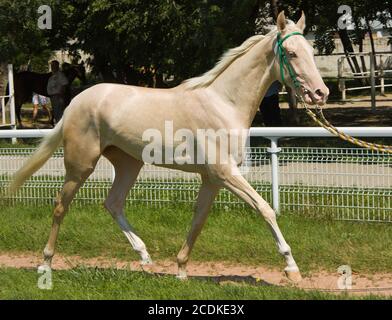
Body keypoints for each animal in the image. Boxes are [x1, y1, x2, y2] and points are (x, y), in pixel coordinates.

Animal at [8, 11, 328, 282]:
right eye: (291, 53)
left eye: (311, 51)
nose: (320, 93)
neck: (223, 103)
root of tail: (75, 102)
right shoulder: (225, 173)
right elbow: (265, 209)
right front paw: (292, 268)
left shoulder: (212, 178)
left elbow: (199, 219)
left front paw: (182, 269)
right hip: (81, 164)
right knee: (60, 206)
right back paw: (45, 264)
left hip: (129, 163)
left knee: (113, 203)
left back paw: (145, 257)